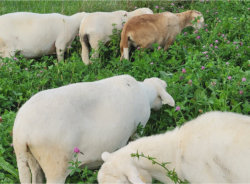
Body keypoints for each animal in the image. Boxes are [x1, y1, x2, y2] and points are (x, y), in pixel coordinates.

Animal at [12, 74, 175, 183]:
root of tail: (21, 133)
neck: (145, 92)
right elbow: (136, 139)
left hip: (30, 160)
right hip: (56, 164)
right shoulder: (138, 127)